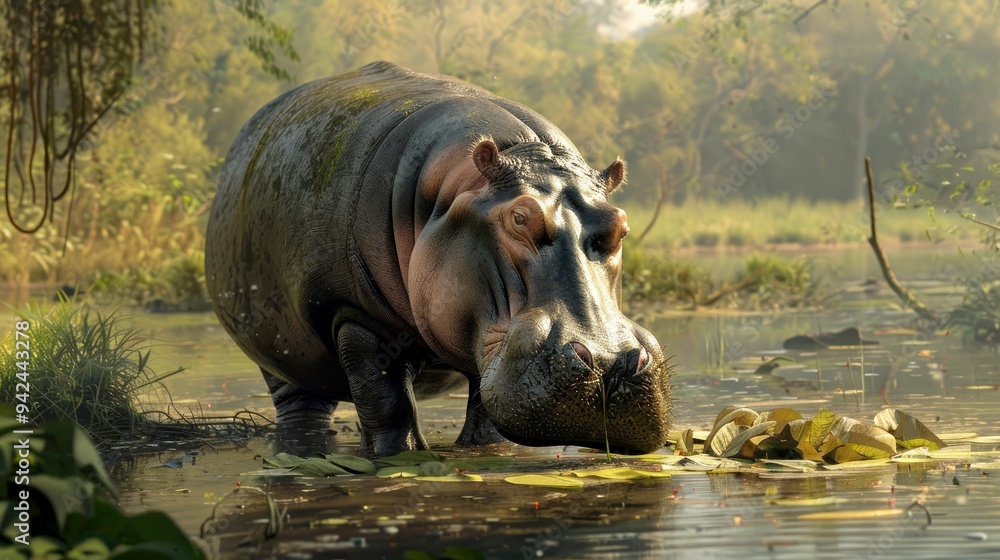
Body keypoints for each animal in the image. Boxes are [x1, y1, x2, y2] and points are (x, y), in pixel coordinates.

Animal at [205, 61, 671, 456]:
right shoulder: (354, 314)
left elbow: (483, 405)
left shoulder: (483, 339)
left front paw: (484, 451)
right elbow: (385, 400)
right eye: (519, 217)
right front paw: (398, 456)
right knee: (303, 403)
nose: (611, 365)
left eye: (620, 224)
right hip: (280, 352)